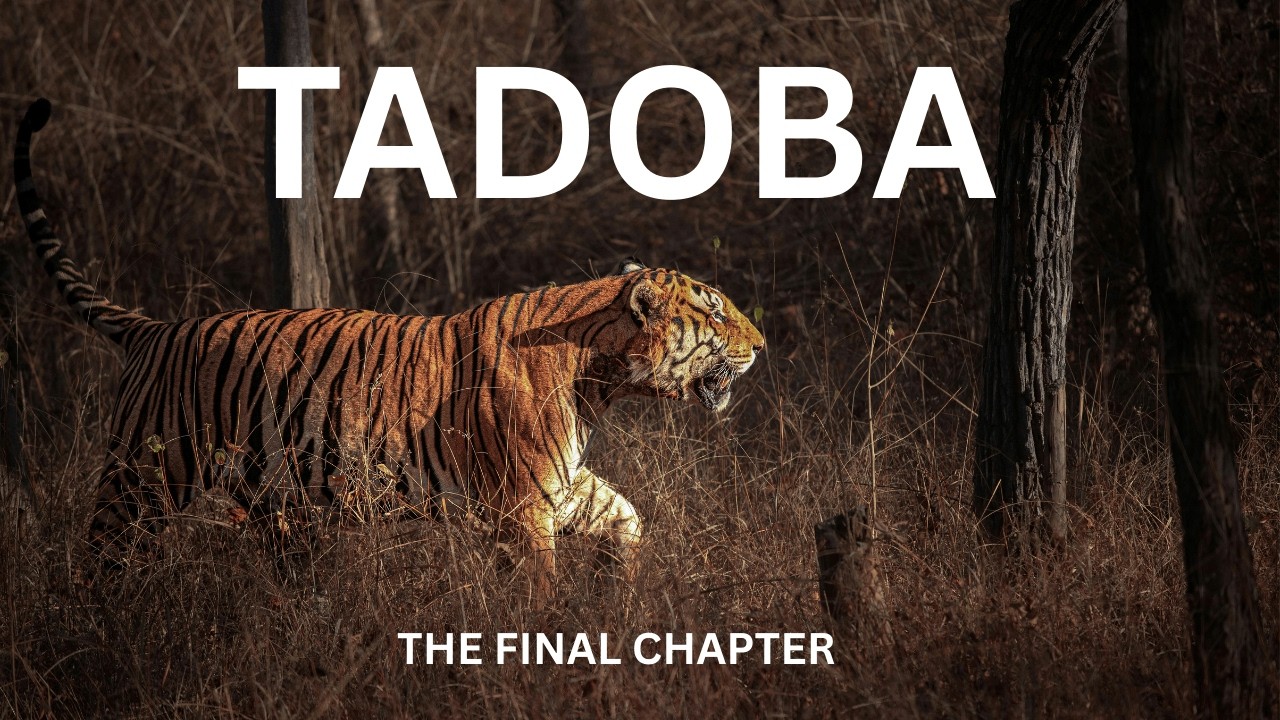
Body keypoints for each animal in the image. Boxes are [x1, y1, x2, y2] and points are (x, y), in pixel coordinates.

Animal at [13, 98, 765, 593]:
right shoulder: (523, 507)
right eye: (714, 309)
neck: (600, 379)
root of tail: (155, 329)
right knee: (98, 561)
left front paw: (620, 593)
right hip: (141, 480)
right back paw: (98, 631)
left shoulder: (564, 487)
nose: (761, 343)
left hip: (272, 503)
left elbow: (628, 518)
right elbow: (539, 593)